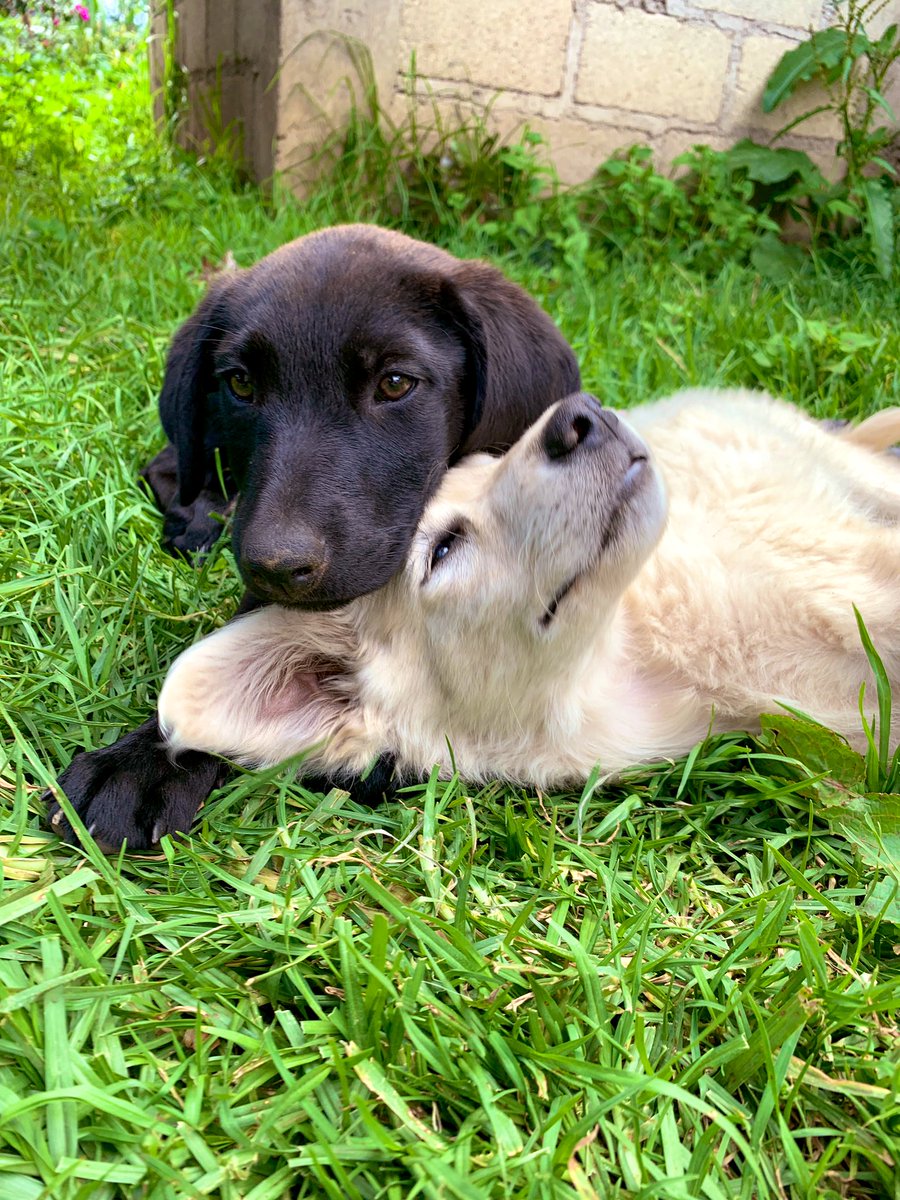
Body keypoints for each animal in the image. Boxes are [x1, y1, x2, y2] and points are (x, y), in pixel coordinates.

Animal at [49, 223, 580, 844]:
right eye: (242, 383)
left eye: (395, 383)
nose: (275, 565)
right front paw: (145, 760)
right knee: (172, 464)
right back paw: (199, 522)